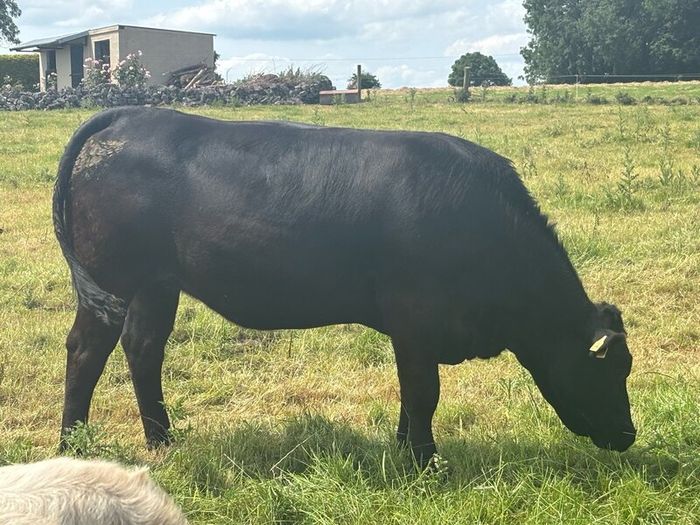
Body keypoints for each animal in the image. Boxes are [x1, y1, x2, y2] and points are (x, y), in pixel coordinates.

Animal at [53, 107, 635, 467]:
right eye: (609, 370)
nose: (629, 436)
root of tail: (132, 113)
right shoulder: (415, 319)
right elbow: (424, 393)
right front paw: (425, 464)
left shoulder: (414, 333)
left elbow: (409, 396)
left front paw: (404, 450)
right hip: (112, 279)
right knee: (86, 349)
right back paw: (73, 446)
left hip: (157, 284)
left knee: (143, 348)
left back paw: (162, 440)